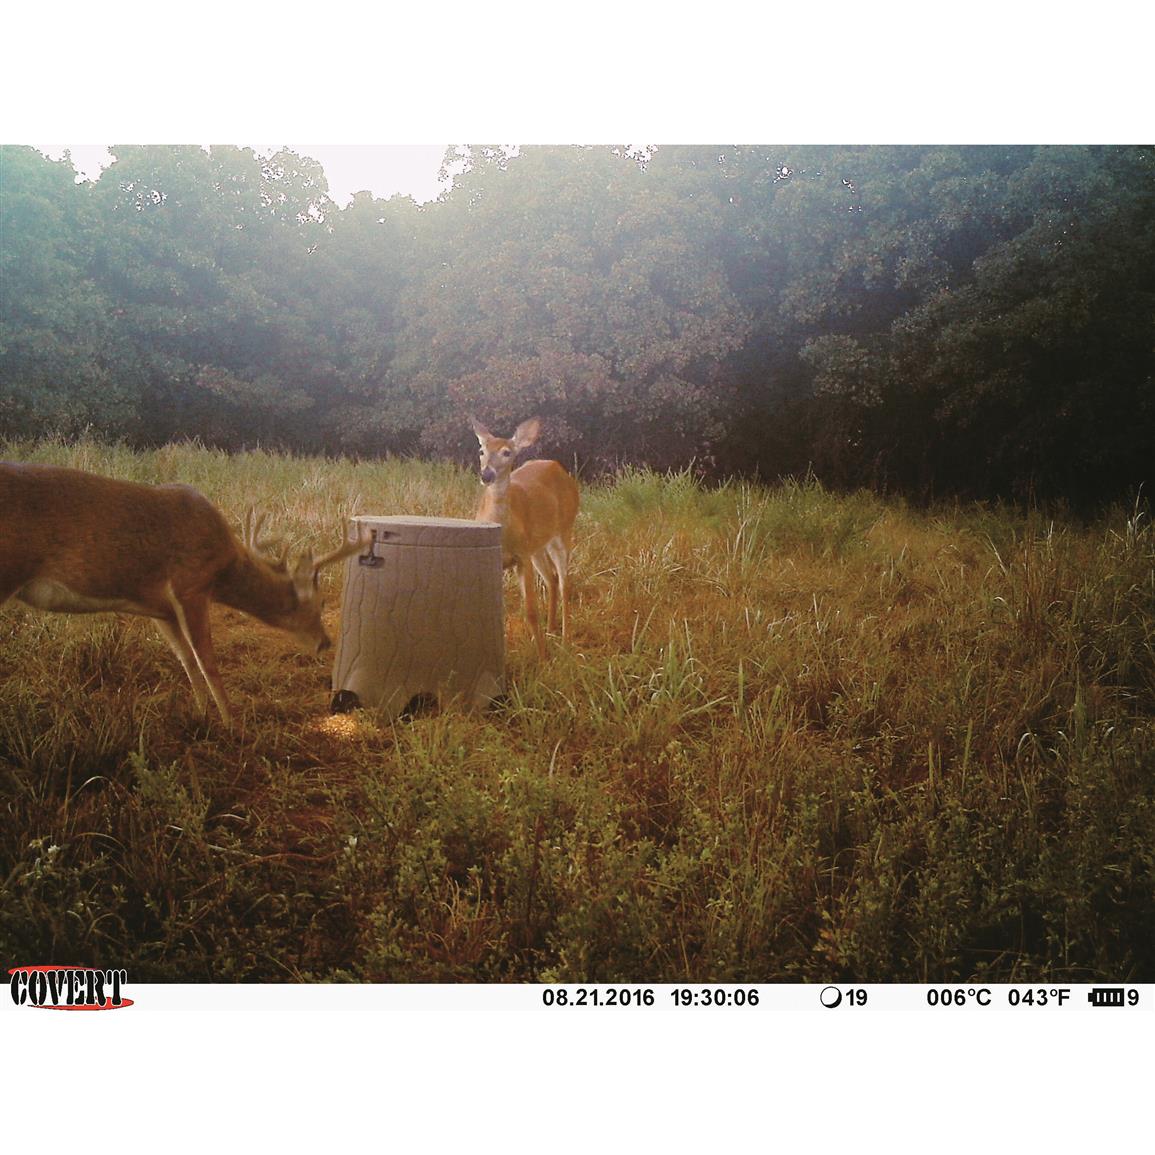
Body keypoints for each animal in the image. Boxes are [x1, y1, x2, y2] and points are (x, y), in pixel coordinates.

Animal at [0, 461, 368, 728]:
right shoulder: (190, 585)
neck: (224, 566)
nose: (325, 642)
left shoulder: (159, 608)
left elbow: (187, 660)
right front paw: (233, 725)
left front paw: (201, 715)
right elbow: (208, 662)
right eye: (318, 603)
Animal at [469, 416, 579, 659]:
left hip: (563, 531)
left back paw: (566, 639)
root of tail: (556, 466)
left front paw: (543, 658)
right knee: (552, 579)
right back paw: (551, 629)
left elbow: (530, 610)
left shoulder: (522, 557)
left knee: (565, 583)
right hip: (537, 546)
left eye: (507, 452)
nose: (486, 475)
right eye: (481, 450)